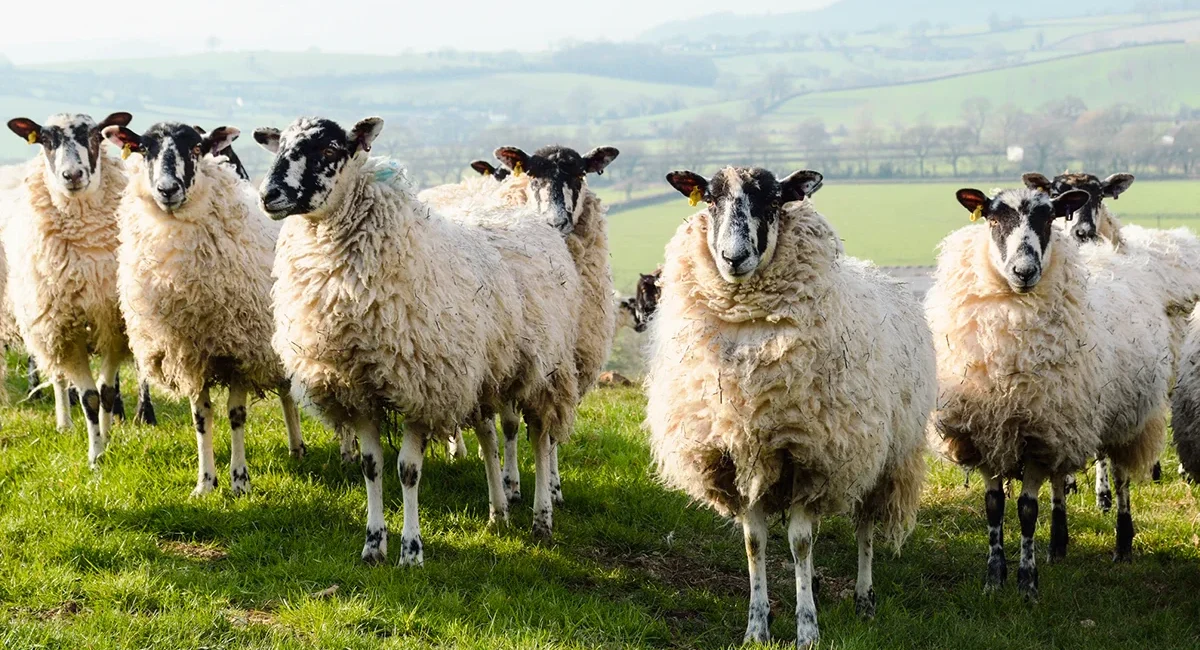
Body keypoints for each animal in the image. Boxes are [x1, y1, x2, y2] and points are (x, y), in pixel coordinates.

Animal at [3, 112, 153, 466]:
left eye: (96, 135)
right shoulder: (65, 333)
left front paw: (107, 438)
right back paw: (64, 423)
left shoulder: (114, 326)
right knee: (58, 378)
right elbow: (88, 397)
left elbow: (107, 392)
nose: (72, 175)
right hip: (45, 328)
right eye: (46, 139)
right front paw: (96, 456)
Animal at [102, 122, 305, 495]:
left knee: (290, 392)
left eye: (196, 148)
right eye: (145, 149)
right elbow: (202, 418)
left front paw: (240, 482)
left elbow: (236, 415)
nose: (167, 189)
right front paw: (205, 483)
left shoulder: (241, 351)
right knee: (285, 392)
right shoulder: (189, 356)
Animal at [255, 116, 582, 564]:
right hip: (486, 375)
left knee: (540, 437)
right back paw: (498, 513)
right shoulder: (359, 390)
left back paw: (542, 517)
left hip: (545, 369)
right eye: (279, 146)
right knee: (491, 438)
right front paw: (373, 545)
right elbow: (372, 467)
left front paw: (411, 551)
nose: (268, 195)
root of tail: (528, 216)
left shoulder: (421, 388)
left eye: (329, 150)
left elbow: (407, 471)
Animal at [645, 167, 934, 646]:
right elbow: (755, 543)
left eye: (774, 199)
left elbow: (799, 543)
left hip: (879, 456)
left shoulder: (808, 455)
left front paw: (807, 629)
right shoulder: (740, 456)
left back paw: (864, 598)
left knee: (865, 528)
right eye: (710, 199)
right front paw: (756, 628)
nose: (734, 257)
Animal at [927, 186, 1170, 602]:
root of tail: (1108, 257)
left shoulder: (1036, 438)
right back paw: (1058, 544)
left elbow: (1026, 510)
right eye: (993, 217)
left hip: (1124, 420)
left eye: (1048, 217)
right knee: (1060, 483)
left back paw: (1123, 544)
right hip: (1063, 422)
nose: (1024, 272)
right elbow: (994, 507)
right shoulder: (992, 434)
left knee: (1121, 478)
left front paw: (1027, 584)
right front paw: (994, 578)